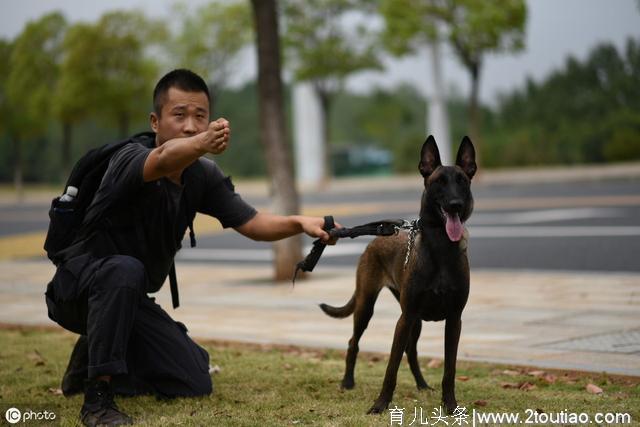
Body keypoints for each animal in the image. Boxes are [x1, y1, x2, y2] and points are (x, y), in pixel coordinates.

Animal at [320, 136, 476, 414]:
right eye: (439, 182)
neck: (440, 248)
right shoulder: (403, 319)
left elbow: (449, 369)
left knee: (411, 352)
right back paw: (348, 382)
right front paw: (380, 405)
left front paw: (450, 405)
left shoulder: (453, 320)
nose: (455, 205)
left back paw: (422, 385)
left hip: (416, 322)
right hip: (368, 307)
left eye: (463, 181)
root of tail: (377, 237)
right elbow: (391, 367)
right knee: (353, 342)